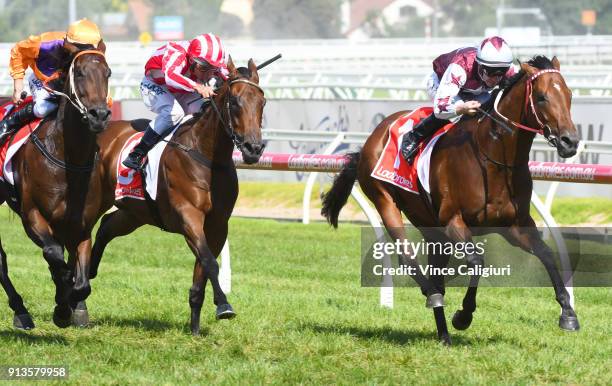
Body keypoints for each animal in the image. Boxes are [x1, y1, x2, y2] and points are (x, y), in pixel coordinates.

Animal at [0, 44, 111, 328]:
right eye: (80, 72)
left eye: (107, 72)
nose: (99, 115)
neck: (68, 160)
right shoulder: (32, 216)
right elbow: (55, 257)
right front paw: (61, 309)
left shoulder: (81, 224)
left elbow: (80, 281)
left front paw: (74, 306)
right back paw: (21, 311)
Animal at [82, 58, 264, 334]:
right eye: (235, 102)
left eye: (262, 102)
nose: (253, 148)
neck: (207, 157)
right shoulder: (188, 215)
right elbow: (209, 261)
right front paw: (224, 305)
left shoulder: (218, 224)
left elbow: (202, 270)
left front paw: (196, 328)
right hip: (94, 200)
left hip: (135, 213)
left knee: (106, 226)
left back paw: (90, 272)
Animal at [322, 55, 580, 346]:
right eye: (542, 97)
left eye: (569, 94)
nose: (570, 141)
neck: (492, 158)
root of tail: (376, 132)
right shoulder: (453, 221)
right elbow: (477, 262)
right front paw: (463, 315)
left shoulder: (516, 225)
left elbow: (546, 253)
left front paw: (568, 313)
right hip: (384, 199)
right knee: (407, 258)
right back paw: (433, 298)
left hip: (431, 228)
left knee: (436, 273)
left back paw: (443, 333)